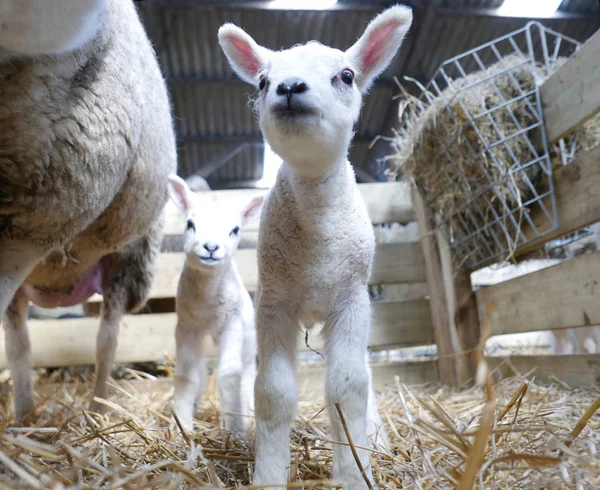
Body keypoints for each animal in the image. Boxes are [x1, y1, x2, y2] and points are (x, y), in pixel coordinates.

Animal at [169, 174, 262, 434]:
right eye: (190, 224)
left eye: (235, 229)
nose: (211, 247)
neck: (207, 303)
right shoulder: (186, 325)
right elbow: (186, 376)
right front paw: (182, 425)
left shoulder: (232, 323)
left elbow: (230, 375)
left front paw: (235, 429)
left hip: (248, 335)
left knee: (247, 371)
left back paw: (247, 416)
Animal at [219, 5, 412, 488]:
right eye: (262, 81)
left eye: (346, 75)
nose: (289, 87)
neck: (317, 253)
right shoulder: (274, 302)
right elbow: (273, 391)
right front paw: (269, 473)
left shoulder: (351, 301)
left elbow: (347, 387)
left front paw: (354, 473)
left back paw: (375, 440)